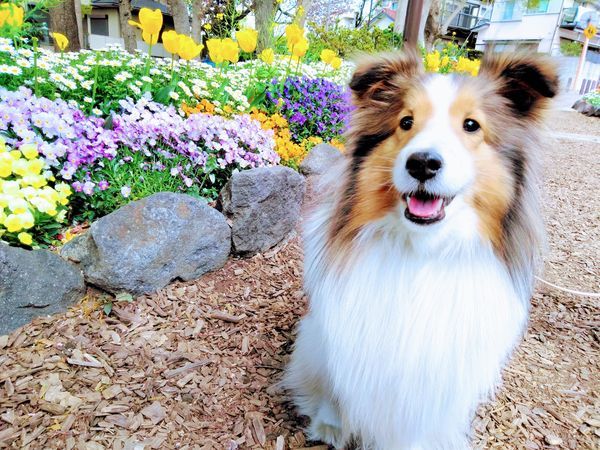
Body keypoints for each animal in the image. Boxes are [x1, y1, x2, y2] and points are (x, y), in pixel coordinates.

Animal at [284, 51, 556, 448]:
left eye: (471, 125)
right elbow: (339, 388)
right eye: (406, 122)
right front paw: (331, 423)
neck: (423, 251)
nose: (422, 163)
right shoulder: (341, 337)